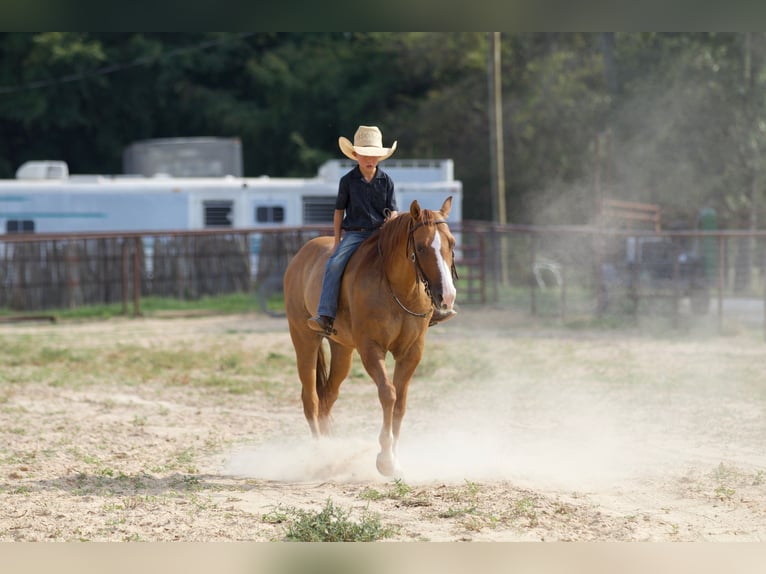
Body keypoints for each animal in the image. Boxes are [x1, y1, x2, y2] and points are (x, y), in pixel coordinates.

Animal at [286, 198, 456, 476]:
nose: (447, 296)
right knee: (311, 398)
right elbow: (388, 393)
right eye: (420, 247)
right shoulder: (371, 349)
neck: (397, 290)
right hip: (304, 340)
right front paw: (385, 459)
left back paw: (331, 453)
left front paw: (395, 459)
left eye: (451, 243)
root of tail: (301, 255)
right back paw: (320, 455)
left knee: (328, 397)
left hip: (342, 350)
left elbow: (401, 403)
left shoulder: (411, 353)